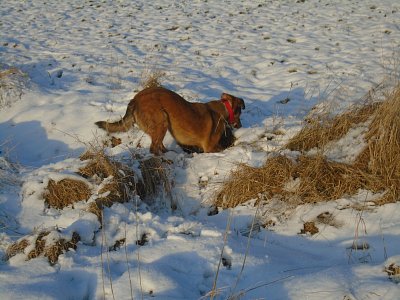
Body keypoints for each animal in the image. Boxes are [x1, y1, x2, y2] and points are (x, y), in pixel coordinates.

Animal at [95, 85, 245, 154]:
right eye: (240, 113)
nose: (241, 126)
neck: (224, 109)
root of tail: (134, 100)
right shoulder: (210, 148)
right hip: (161, 120)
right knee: (154, 148)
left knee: (159, 145)